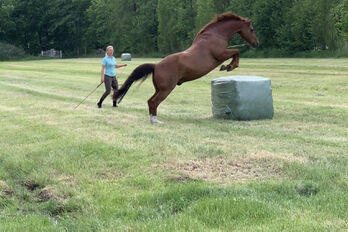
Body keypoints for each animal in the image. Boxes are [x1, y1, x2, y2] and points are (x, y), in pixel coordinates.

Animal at [114, 12, 258, 123]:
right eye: (251, 29)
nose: (256, 43)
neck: (214, 35)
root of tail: (156, 66)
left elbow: (236, 52)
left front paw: (227, 66)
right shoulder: (221, 54)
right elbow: (237, 52)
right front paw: (229, 66)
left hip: (159, 88)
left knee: (150, 101)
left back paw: (153, 119)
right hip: (166, 89)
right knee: (154, 102)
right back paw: (155, 121)